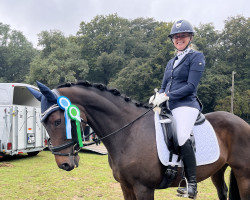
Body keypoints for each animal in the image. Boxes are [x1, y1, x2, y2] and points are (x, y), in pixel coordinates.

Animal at [31, 81, 250, 200]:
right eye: (43, 122)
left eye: (57, 121)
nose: (64, 164)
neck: (128, 133)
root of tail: (242, 122)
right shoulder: (126, 186)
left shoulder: (143, 188)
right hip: (218, 170)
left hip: (243, 175)